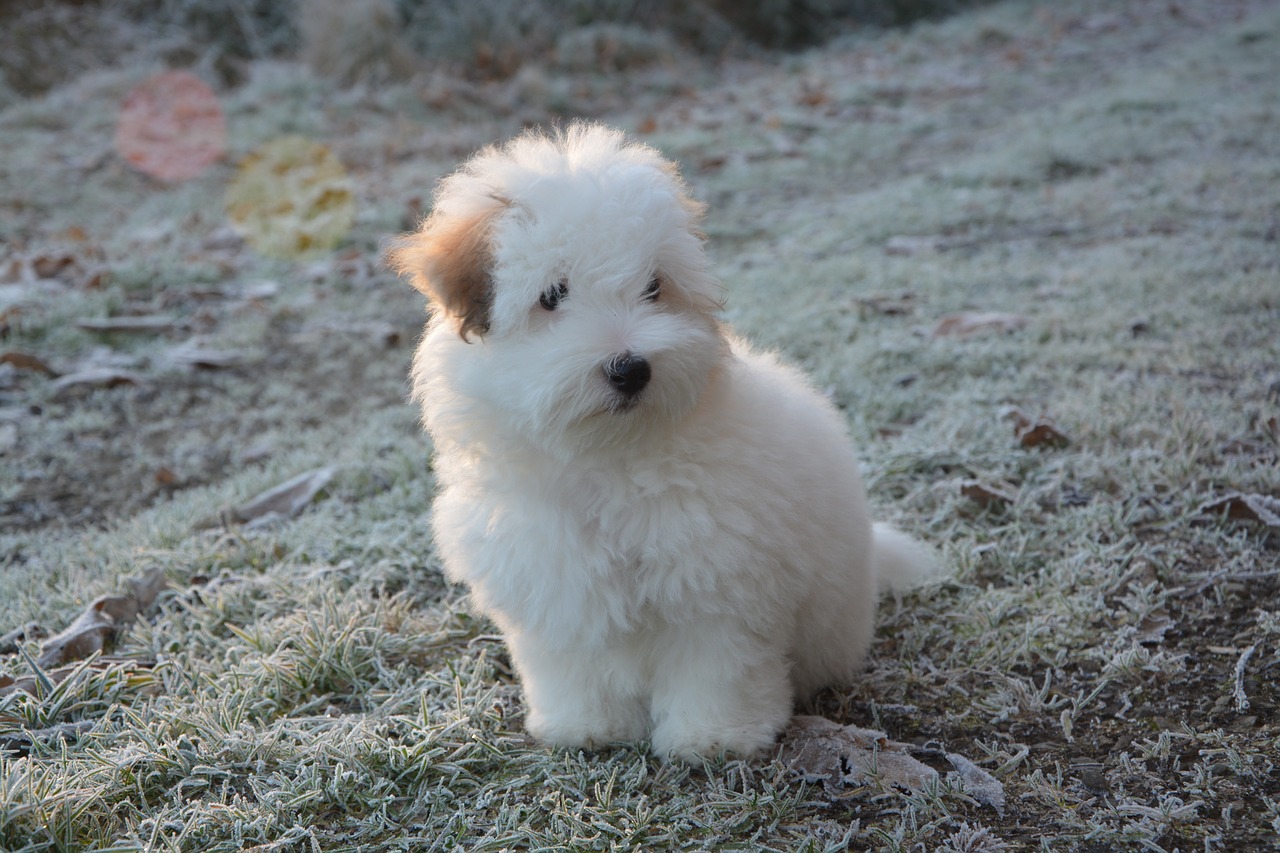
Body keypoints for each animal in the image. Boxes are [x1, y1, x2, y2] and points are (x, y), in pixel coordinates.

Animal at [384, 121, 936, 758]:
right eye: (553, 295)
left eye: (653, 287)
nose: (631, 369)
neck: (607, 456)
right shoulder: (555, 583)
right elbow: (576, 665)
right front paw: (586, 727)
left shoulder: (716, 585)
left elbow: (715, 665)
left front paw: (714, 736)